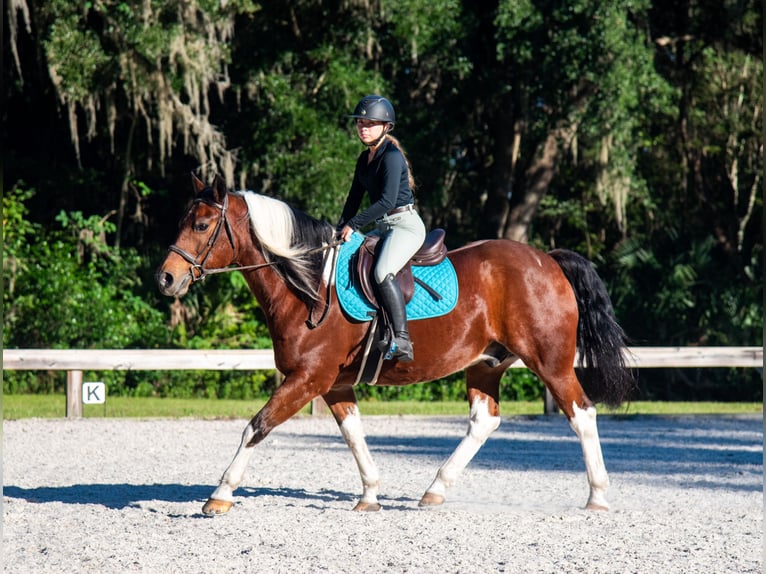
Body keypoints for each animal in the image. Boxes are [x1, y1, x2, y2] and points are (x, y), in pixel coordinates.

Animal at [156, 174, 635, 515]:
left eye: (202, 225)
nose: (166, 279)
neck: (311, 286)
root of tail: (546, 259)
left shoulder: (308, 378)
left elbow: (256, 426)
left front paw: (220, 494)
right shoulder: (332, 383)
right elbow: (353, 435)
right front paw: (369, 494)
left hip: (550, 362)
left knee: (582, 413)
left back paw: (597, 496)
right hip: (486, 363)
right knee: (484, 421)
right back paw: (434, 490)